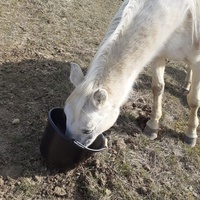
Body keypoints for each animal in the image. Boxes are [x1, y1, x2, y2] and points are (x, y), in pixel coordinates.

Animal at [65, 0, 200, 147]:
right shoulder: (159, 55)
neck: (181, 13)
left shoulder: (197, 61)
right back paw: (185, 86)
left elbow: (194, 101)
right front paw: (153, 126)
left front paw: (191, 134)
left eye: (87, 130)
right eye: (65, 116)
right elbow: (157, 88)